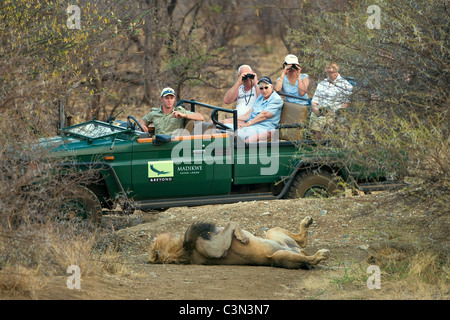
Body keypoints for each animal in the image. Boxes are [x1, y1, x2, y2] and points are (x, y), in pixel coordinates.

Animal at [149, 216, 328, 268]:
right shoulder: (213, 249)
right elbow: (231, 223)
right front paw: (242, 237)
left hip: (272, 232)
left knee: (302, 241)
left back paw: (307, 222)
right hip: (279, 256)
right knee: (308, 258)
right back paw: (321, 255)